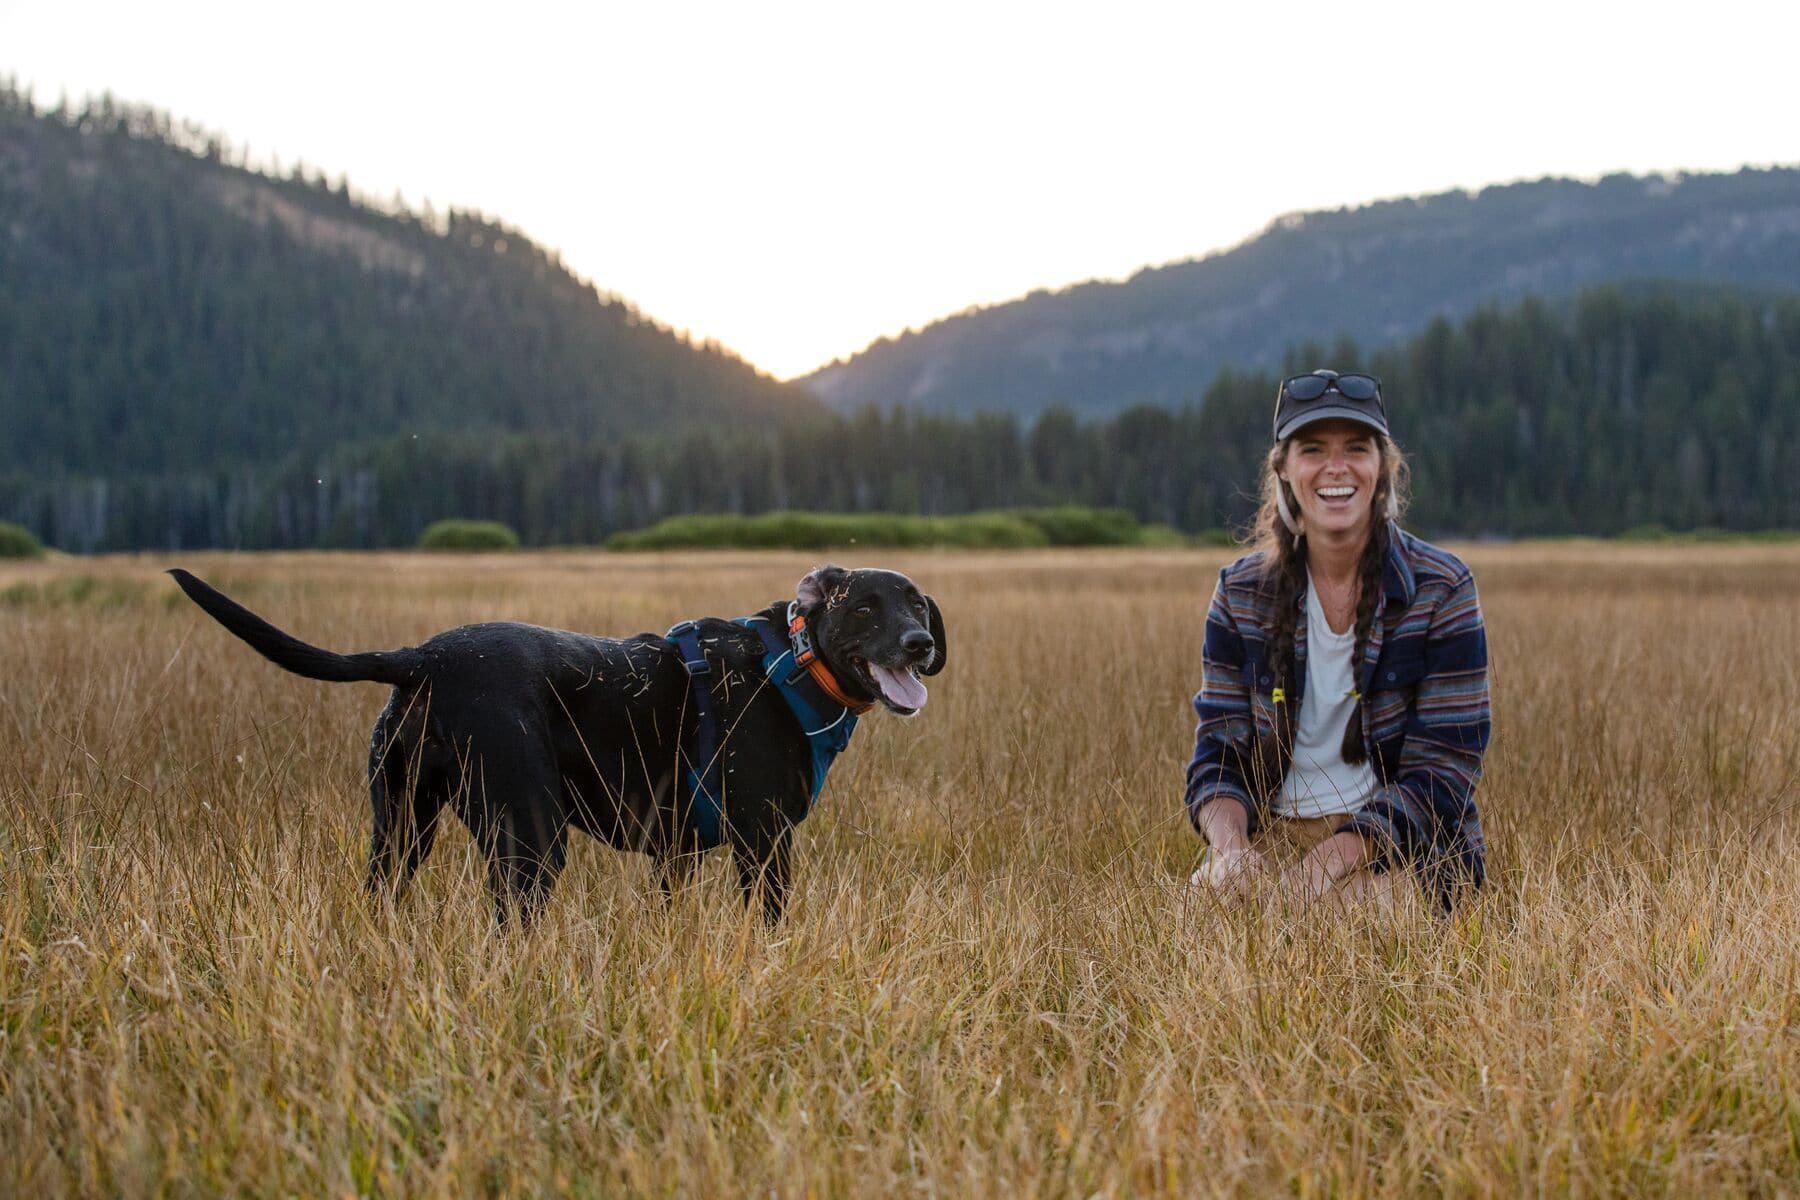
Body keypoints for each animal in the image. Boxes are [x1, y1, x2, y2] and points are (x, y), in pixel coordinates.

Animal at [170, 568, 950, 928]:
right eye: (865, 607)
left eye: (916, 603)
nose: (921, 642)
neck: (793, 663)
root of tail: (423, 658)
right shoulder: (764, 842)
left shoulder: (673, 854)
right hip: (531, 838)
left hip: (400, 827)